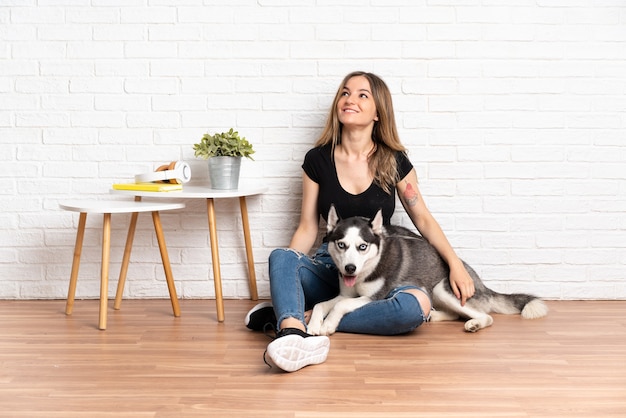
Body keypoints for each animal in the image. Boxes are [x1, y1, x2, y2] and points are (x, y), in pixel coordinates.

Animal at [308, 206, 544, 336]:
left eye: (362, 247)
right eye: (341, 245)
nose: (349, 269)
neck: (370, 267)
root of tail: (480, 283)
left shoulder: (374, 297)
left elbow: (341, 305)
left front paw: (328, 324)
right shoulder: (344, 292)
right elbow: (323, 303)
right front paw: (313, 323)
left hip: (442, 288)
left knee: (486, 316)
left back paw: (475, 323)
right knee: (455, 313)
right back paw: (435, 315)